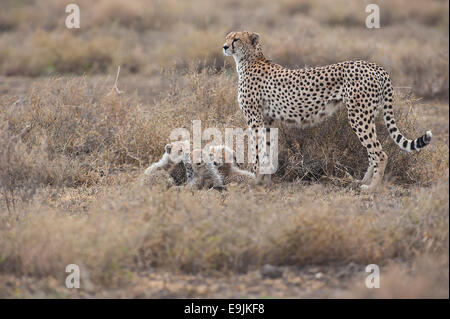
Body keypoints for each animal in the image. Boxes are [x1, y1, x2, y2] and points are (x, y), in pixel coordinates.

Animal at [223, 31, 430, 191]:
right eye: (227, 38)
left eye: (236, 39)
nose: (224, 47)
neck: (250, 59)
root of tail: (374, 66)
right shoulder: (267, 120)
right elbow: (267, 149)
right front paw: (264, 181)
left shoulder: (255, 119)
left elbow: (256, 150)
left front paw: (253, 180)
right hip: (367, 115)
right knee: (372, 153)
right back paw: (360, 182)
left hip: (359, 115)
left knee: (379, 153)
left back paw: (371, 188)